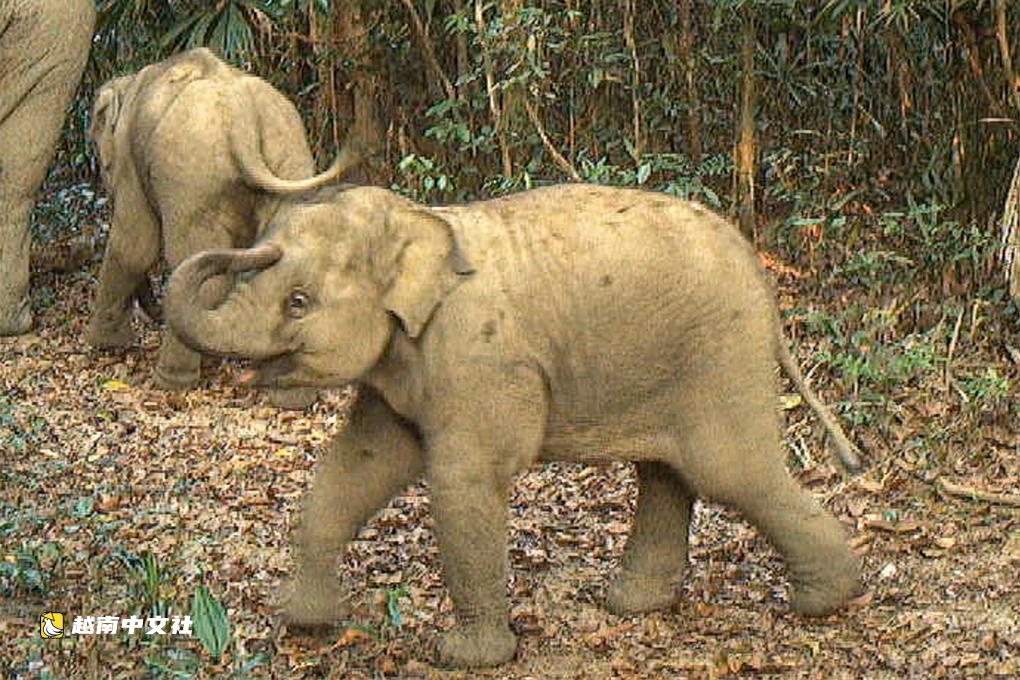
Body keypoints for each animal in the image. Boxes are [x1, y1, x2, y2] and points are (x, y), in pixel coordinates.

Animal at [85, 47, 360, 406]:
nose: (153, 311)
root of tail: (242, 112)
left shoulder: (131, 160)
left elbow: (134, 245)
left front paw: (104, 344)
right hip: (288, 154)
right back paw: (291, 398)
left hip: (191, 170)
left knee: (190, 261)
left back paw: (171, 381)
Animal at [165, 184, 864, 667]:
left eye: (298, 302)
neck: (420, 222)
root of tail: (764, 282)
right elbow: (356, 466)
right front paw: (304, 622)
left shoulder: (479, 359)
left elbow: (463, 480)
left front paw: (463, 658)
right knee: (667, 471)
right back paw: (632, 603)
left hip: (721, 351)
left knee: (730, 471)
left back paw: (827, 600)